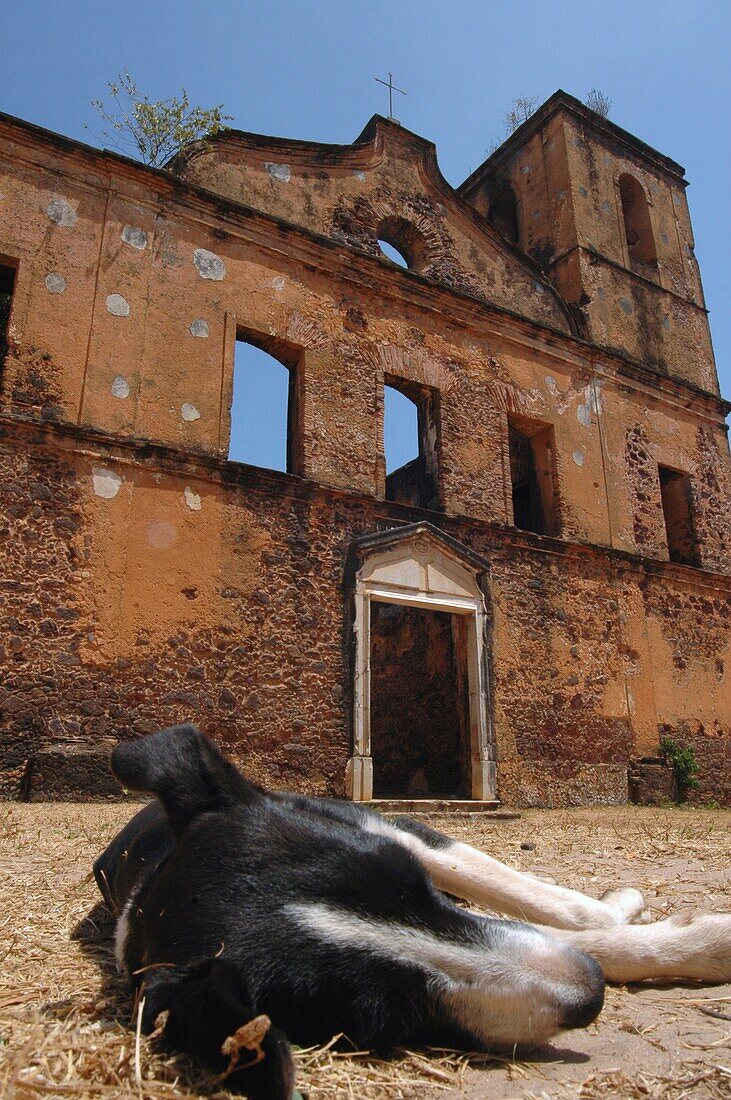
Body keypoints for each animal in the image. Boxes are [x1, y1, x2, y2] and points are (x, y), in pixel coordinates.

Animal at [95, 726, 729, 1095]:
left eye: (414, 886)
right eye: (384, 1016)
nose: (591, 993)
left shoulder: (394, 832)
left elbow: (562, 915)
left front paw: (676, 931)